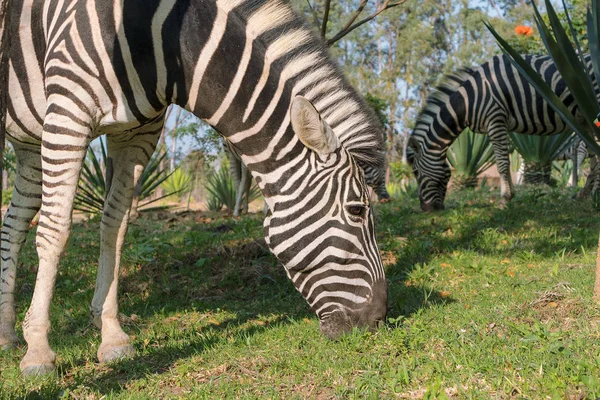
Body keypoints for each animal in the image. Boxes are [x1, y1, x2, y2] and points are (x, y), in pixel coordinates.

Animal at [0, 0, 390, 376]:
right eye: (357, 210)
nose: (378, 320)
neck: (164, 37)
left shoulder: (137, 133)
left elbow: (115, 228)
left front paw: (112, 337)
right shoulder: (68, 115)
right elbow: (56, 231)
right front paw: (39, 351)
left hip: (30, 141)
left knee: (13, 225)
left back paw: (6, 334)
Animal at [408, 54, 596, 212]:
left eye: (416, 173)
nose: (425, 209)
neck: (470, 100)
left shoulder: (495, 118)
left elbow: (502, 164)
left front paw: (505, 199)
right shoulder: (503, 126)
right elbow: (509, 162)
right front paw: (510, 195)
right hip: (586, 119)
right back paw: (586, 193)